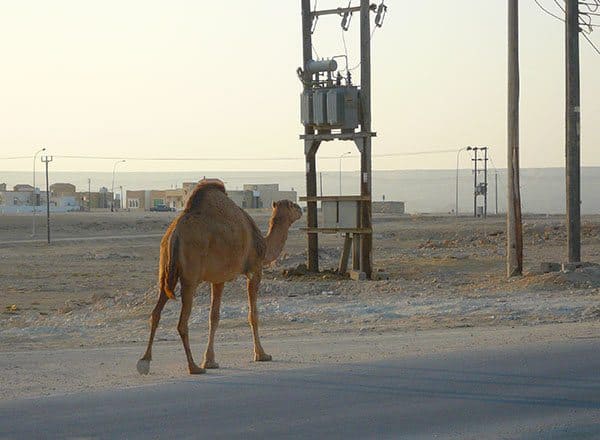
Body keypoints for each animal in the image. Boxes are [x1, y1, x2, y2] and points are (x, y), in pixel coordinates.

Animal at [138, 179, 302, 374]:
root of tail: (174, 234)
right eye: (292, 204)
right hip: (189, 279)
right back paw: (193, 367)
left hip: (165, 273)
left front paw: (210, 361)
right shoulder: (254, 271)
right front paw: (261, 355)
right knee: (182, 322)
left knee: (155, 313)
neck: (263, 244)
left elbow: (214, 317)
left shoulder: (218, 279)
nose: (301, 209)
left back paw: (145, 361)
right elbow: (253, 314)